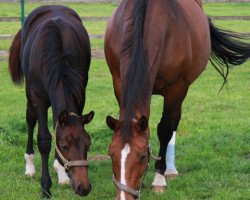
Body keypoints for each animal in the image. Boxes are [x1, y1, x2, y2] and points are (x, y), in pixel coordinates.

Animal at [8, 5, 94, 198]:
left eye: (88, 143)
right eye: (64, 146)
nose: (83, 188)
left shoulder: (80, 97)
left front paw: (62, 173)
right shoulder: (38, 100)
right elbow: (44, 139)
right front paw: (45, 187)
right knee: (30, 119)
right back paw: (30, 166)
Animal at [104, 0, 250, 198]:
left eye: (142, 156)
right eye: (111, 154)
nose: (124, 197)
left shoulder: (176, 89)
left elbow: (165, 129)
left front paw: (159, 178)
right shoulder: (119, 82)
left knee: (173, 124)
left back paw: (170, 169)